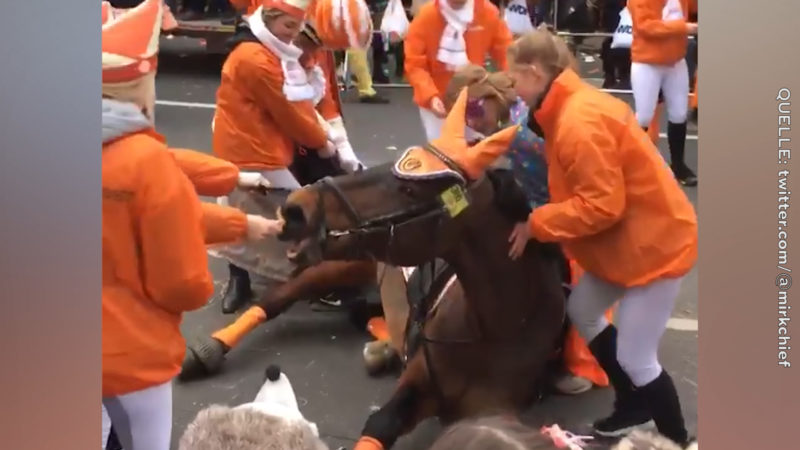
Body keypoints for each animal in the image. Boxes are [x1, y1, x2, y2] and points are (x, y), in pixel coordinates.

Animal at [278, 91, 564, 446]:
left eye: (409, 190)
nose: (296, 207)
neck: (497, 328)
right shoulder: (417, 383)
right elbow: (381, 423)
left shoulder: (494, 410)